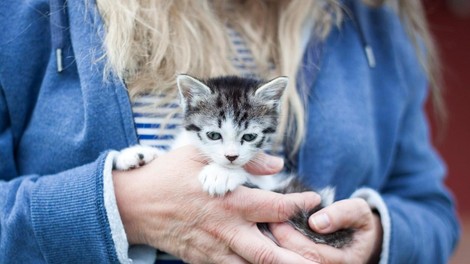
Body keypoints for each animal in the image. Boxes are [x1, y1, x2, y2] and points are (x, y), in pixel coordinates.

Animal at [114, 73, 352, 248]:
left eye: (249, 137)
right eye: (213, 135)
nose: (231, 156)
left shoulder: (270, 183)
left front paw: (222, 173)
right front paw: (136, 154)